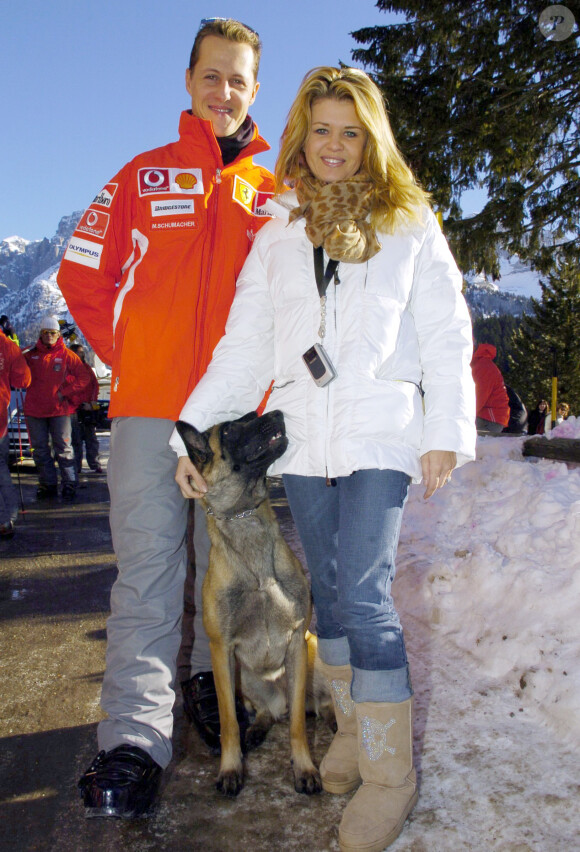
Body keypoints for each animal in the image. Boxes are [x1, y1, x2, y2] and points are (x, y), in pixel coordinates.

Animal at [174, 412, 324, 800]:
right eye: (228, 429)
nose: (276, 413)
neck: (245, 518)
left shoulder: (297, 641)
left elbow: (298, 725)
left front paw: (304, 768)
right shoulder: (222, 651)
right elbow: (228, 720)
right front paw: (230, 768)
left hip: (316, 658)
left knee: (314, 706)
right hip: (249, 680)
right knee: (267, 711)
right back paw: (256, 729)